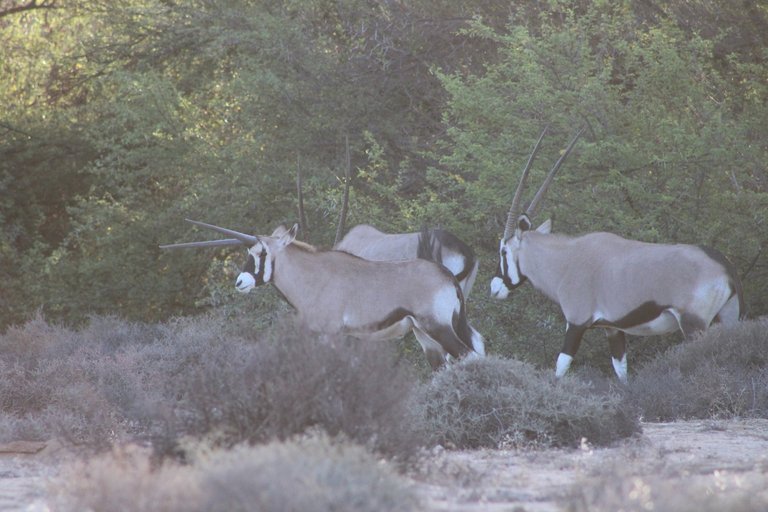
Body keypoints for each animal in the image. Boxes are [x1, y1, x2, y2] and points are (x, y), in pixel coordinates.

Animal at [160, 220, 486, 368]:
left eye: (262, 252)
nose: (241, 281)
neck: (313, 275)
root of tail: (447, 278)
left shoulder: (330, 333)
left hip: (437, 327)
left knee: (467, 354)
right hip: (430, 331)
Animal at [492, 130, 744, 382]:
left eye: (503, 250)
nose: (494, 288)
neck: (565, 260)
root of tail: (724, 267)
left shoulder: (576, 322)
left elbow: (561, 366)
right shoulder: (612, 329)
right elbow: (621, 370)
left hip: (693, 325)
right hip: (728, 316)